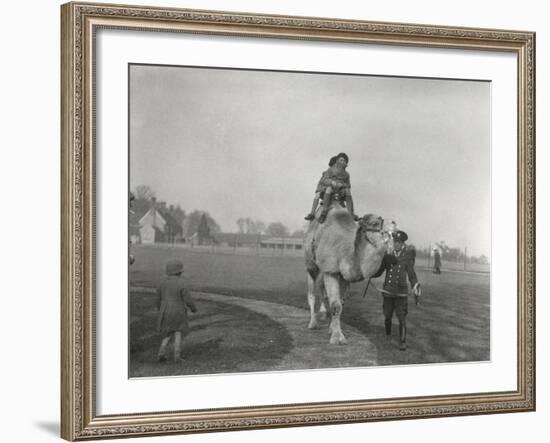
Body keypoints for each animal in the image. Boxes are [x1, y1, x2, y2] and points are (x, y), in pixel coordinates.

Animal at [304, 206, 394, 346]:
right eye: (375, 223)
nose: (393, 224)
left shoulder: (344, 277)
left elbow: (341, 303)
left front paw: (332, 329)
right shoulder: (331, 270)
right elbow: (336, 305)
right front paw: (337, 338)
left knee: (322, 291)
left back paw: (323, 314)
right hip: (311, 264)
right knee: (312, 293)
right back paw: (313, 323)